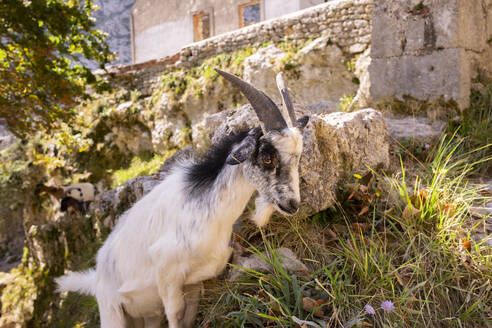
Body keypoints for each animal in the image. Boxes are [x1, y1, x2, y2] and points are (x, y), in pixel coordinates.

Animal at [55, 70, 310, 326]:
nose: (292, 204)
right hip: (112, 311)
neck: (214, 214)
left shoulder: (195, 281)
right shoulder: (167, 274)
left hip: (147, 315)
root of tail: (97, 273)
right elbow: (176, 315)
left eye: (298, 157)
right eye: (267, 157)